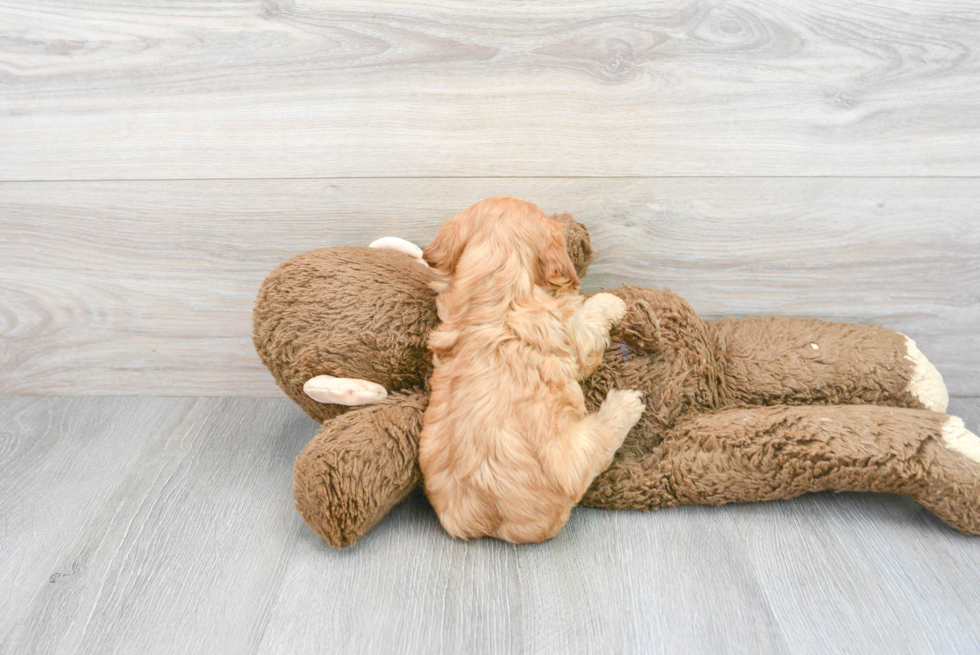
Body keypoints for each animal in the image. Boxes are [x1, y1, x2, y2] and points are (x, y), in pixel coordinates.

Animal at [420, 196, 644, 544]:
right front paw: (611, 302)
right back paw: (626, 403)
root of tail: (488, 518)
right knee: (604, 437)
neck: (496, 298)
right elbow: (589, 317)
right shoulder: (573, 333)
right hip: (578, 452)